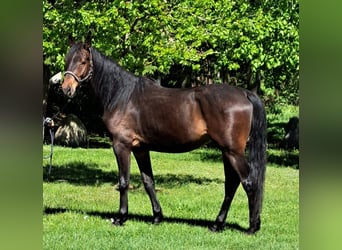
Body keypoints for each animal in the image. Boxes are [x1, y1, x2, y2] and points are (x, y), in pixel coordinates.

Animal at [61, 39, 268, 234]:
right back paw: (218, 224)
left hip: (232, 151)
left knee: (249, 182)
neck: (121, 96)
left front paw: (120, 218)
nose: (66, 89)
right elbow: (148, 182)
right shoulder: (141, 148)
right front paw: (157, 217)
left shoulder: (121, 145)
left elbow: (124, 182)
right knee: (232, 184)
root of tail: (244, 93)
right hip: (227, 151)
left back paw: (251, 227)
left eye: (83, 61)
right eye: (67, 60)